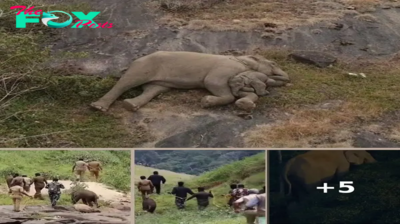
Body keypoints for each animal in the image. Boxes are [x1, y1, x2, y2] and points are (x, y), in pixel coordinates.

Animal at [90, 51, 290, 113]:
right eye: (273, 64)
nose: (288, 80)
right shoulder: (225, 68)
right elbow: (214, 83)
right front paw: (206, 102)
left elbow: (240, 92)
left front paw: (245, 102)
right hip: (143, 67)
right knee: (126, 82)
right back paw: (98, 107)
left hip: (160, 82)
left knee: (152, 89)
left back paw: (130, 106)